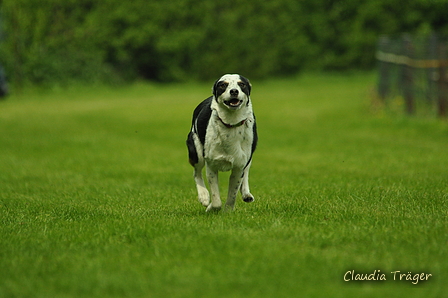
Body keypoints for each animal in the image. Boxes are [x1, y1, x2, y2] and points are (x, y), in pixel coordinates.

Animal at [186, 73, 258, 211]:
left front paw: (228, 210)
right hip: (196, 151)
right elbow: (216, 201)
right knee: (196, 172)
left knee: (247, 170)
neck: (231, 122)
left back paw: (246, 194)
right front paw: (210, 207)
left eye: (242, 84)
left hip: (250, 154)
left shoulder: (239, 167)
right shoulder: (211, 166)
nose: (234, 91)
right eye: (223, 85)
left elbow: (232, 196)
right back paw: (203, 196)